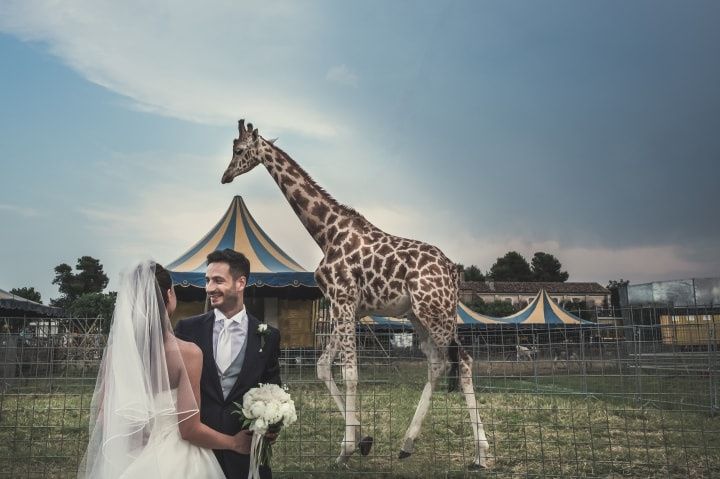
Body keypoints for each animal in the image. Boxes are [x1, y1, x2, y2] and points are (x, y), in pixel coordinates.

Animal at [221, 120, 490, 468]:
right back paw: (407, 443)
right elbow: (323, 367)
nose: (225, 176)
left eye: (239, 150)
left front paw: (346, 448)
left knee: (465, 361)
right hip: (417, 315)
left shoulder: (343, 300)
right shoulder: (344, 306)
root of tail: (454, 270)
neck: (326, 232)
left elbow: (349, 372)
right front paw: (362, 439)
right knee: (437, 362)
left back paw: (481, 453)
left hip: (437, 312)